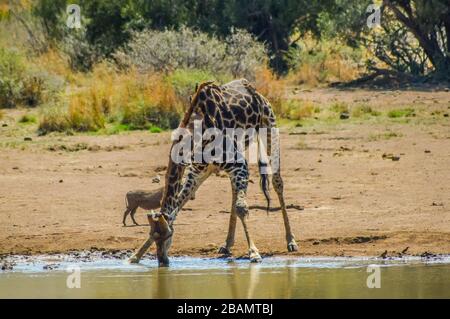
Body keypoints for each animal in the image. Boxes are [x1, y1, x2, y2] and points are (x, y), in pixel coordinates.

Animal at [129, 79, 298, 268]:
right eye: (153, 236)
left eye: (167, 236)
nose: (163, 262)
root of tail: (254, 90)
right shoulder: (197, 170)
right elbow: (178, 206)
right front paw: (135, 256)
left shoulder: (238, 164)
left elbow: (242, 207)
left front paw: (254, 252)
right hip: (217, 165)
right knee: (234, 192)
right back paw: (227, 244)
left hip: (270, 129)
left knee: (277, 182)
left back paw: (291, 241)